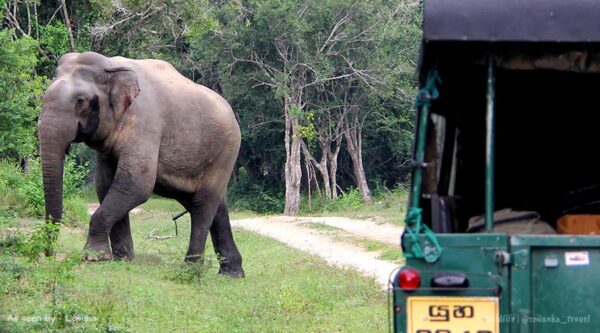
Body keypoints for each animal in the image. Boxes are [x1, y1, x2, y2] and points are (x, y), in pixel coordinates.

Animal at [38, 51, 244, 274]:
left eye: (81, 101)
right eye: (42, 97)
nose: (49, 254)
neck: (111, 65)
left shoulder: (145, 122)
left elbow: (137, 183)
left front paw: (93, 257)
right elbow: (105, 185)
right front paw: (121, 259)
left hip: (226, 152)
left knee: (202, 204)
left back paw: (190, 270)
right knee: (214, 204)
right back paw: (232, 274)